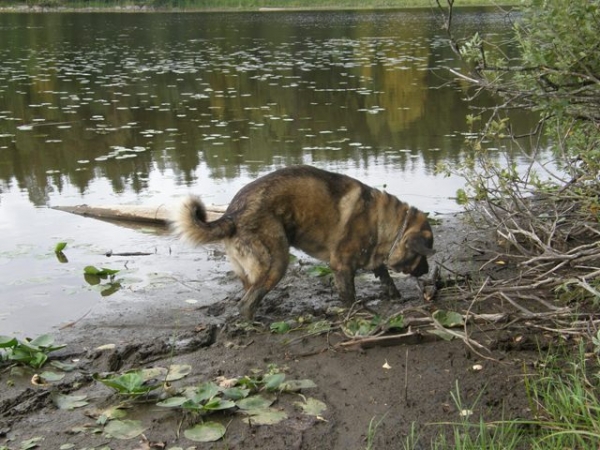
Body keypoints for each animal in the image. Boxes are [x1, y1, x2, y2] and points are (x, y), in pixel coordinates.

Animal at [171, 165, 434, 320]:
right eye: (423, 257)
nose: (427, 271)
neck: (386, 222)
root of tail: (231, 215)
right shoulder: (342, 265)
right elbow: (349, 294)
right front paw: (356, 311)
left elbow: (385, 276)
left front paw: (394, 294)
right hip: (276, 262)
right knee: (246, 303)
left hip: (252, 269)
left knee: (250, 294)